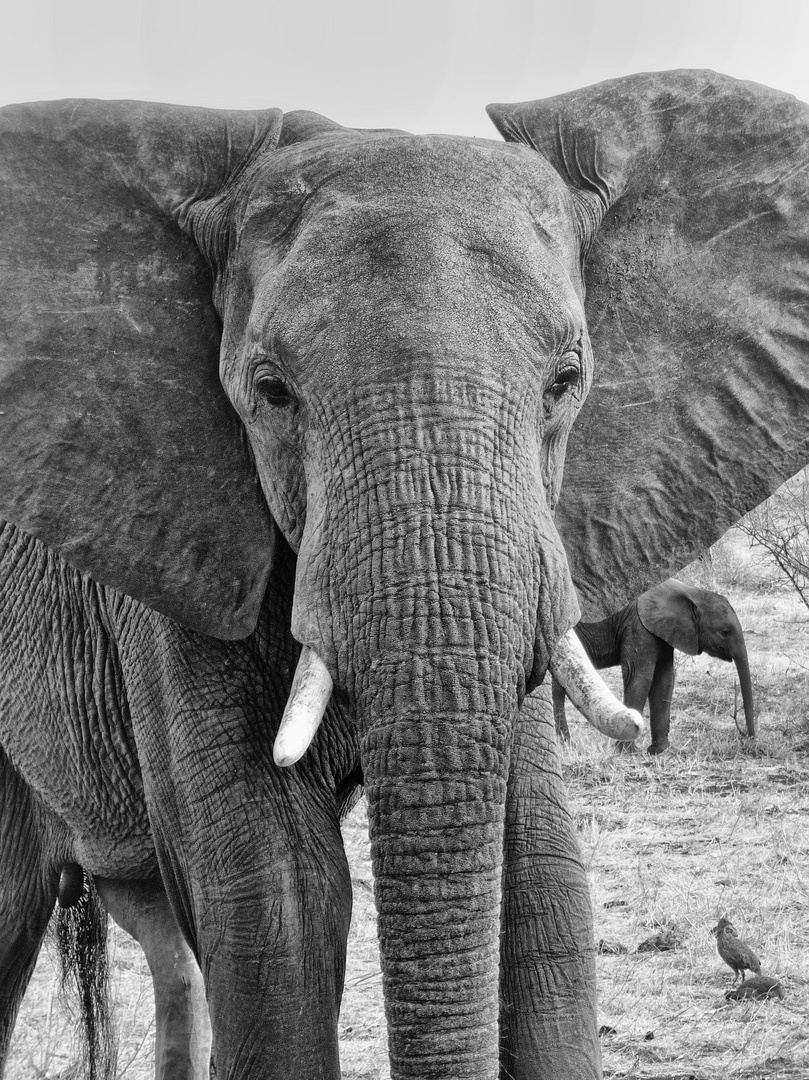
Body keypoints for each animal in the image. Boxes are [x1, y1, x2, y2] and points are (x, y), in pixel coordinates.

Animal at [553, 583, 756, 751]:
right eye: (725, 632)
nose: (750, 739)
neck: (691, 593)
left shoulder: (664, 631)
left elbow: (664, 680)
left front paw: (659, 751)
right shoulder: (639, 627)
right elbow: (640, 677)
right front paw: (627, 752)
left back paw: (565, 745)